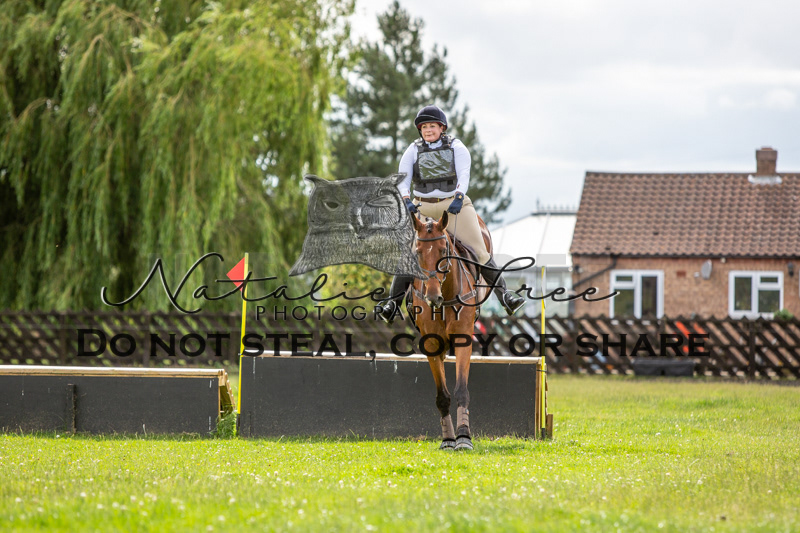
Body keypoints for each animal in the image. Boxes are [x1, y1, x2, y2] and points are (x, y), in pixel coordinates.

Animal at [408, 211, 491, 451]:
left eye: (443, 250)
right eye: (417, 252)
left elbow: (461, 390)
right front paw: (448, 439)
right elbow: (442, 395)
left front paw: (463, 437)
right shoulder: (432, 345)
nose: (432, 297)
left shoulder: (464, 341)